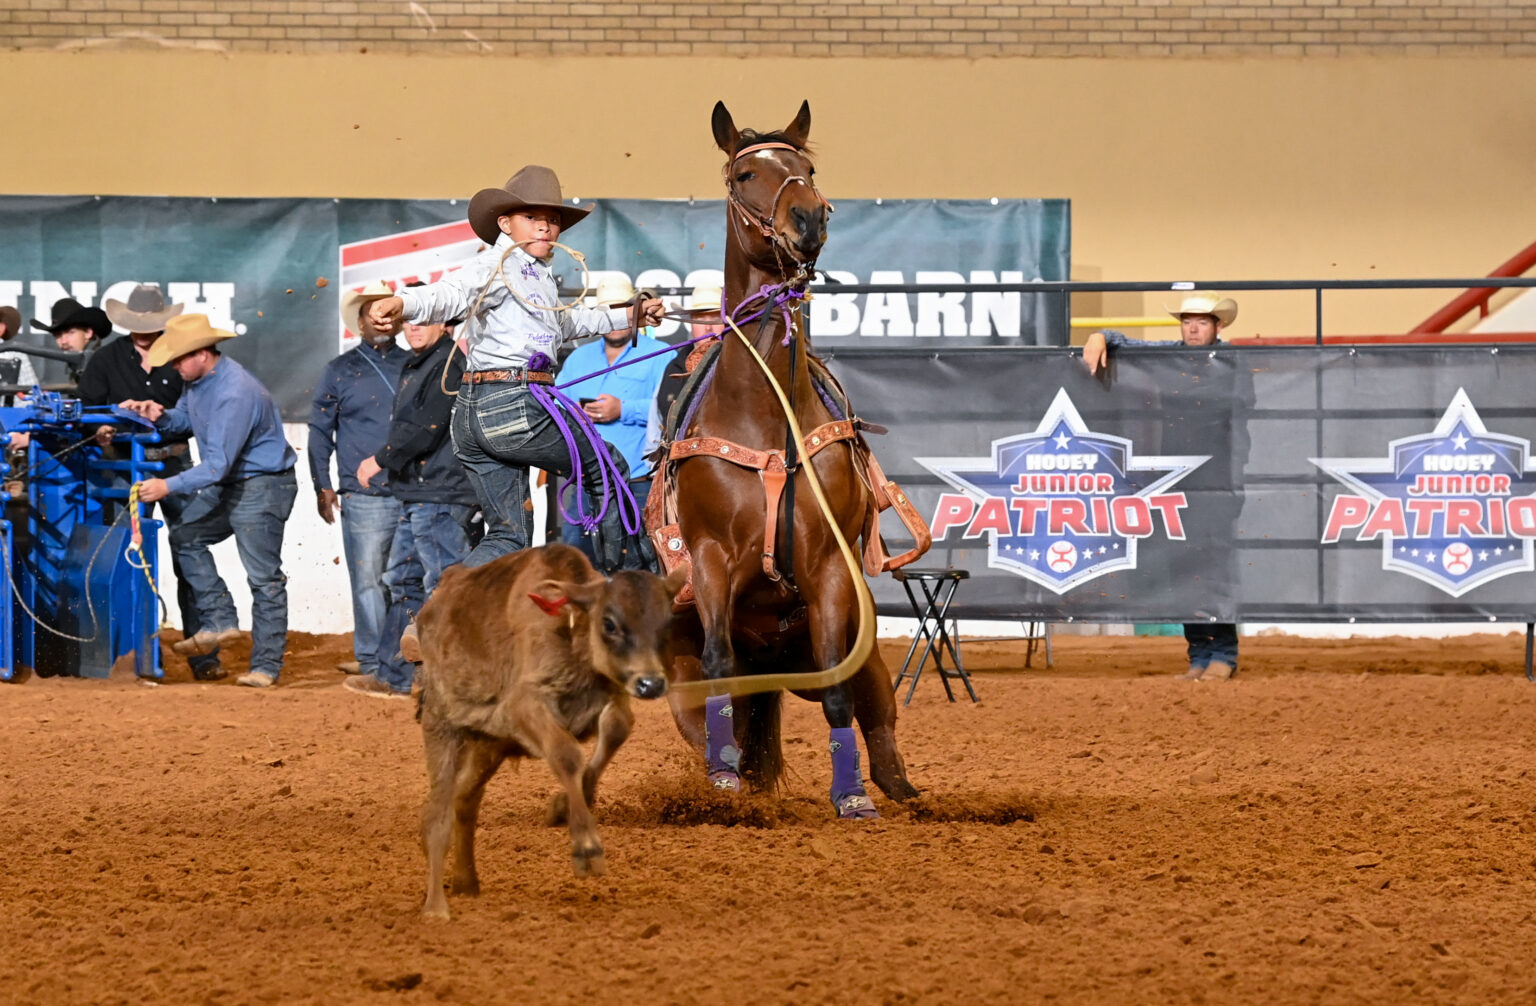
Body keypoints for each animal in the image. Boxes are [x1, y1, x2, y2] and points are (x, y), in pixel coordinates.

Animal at [417, 543, 688, 921]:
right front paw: (587, 848)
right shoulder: (523, 706)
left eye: (666, 623)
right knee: (438, 817)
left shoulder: (609, 696)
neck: (569, 631)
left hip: (490, 746)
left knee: (465, 799)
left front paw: (564, 805)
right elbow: (566, 754)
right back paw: (435, 907)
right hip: (442, 727)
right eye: (609, 623)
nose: (651, 683)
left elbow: (617, 728)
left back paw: (466, 881)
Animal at [654, 104, 915, 817]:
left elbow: (838, 694)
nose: (809, 217)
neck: (768, 418)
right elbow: (721, 669)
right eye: (746, 174)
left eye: (809, 170)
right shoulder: (711, 559)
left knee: (874, 715)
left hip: (862, 647)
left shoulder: (828, 569)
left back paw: (902, 793)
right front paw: (724, 788)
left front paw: (851, 798)